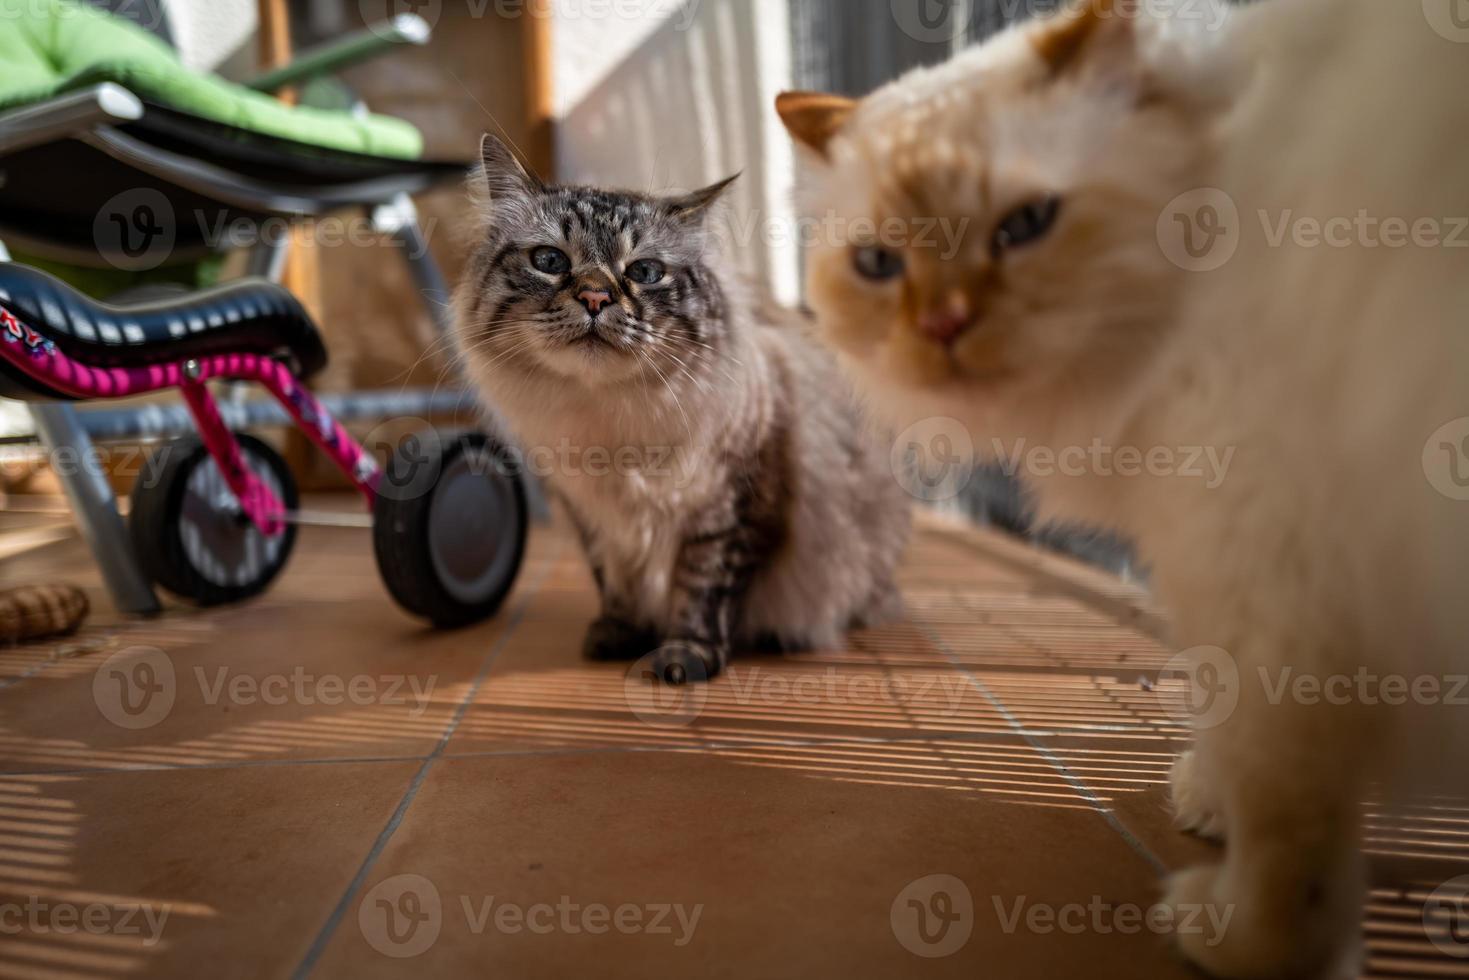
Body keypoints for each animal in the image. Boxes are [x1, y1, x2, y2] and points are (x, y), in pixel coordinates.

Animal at [781, 0, 1469, 975]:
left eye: (1025, 225)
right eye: (879, 265)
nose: (942, 325)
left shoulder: (1267, 573)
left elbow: (1283, 823)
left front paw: (1238, 936)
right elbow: (1222, 725)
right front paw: (1205, 806)